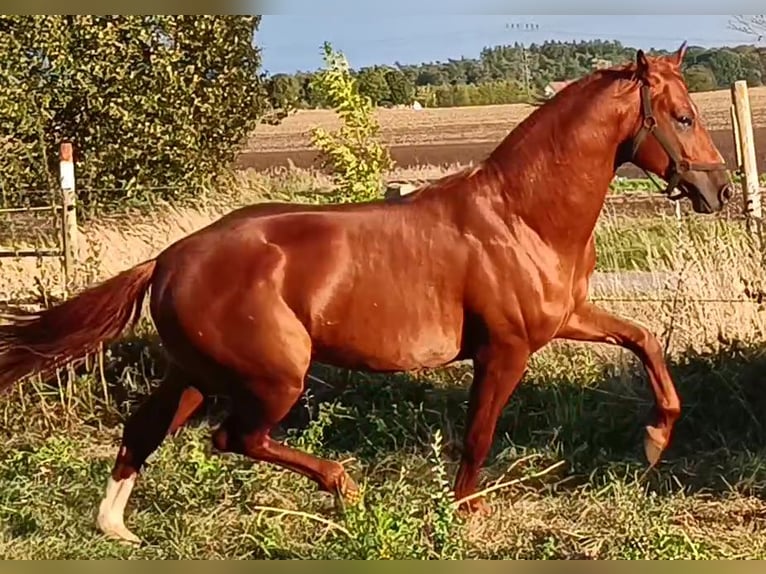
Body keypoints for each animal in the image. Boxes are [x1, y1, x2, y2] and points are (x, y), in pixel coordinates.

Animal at [0, 43, 732, 544]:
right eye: (683, 116)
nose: (720, 191)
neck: (522, 217)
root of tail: (170, 259)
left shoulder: (568, 318)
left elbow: (643, 340)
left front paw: (654, 441)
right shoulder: (506, 350)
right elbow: (478, 433)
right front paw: (464, 510)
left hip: (197, 372)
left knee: (147, 428)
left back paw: (116, 528)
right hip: (273, 377)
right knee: (234, 438)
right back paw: (343, 488)